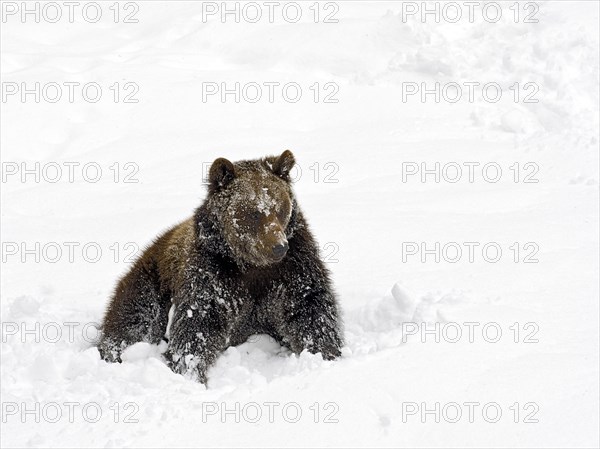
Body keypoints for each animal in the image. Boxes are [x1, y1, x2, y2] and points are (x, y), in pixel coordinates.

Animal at [97, 150, 342, 382]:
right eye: (254, 212)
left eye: (280, 208)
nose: (278, 247)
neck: (252, 265)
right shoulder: (212, 272)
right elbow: (198, 324)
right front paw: (190, 372)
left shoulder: (293, 266)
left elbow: (309, 310)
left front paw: (325, 355)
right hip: (152, 279)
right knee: (135, 320)